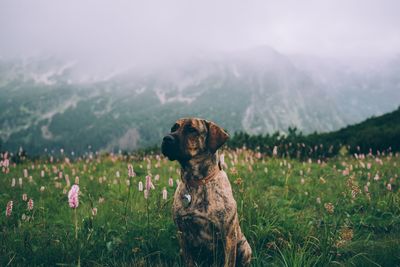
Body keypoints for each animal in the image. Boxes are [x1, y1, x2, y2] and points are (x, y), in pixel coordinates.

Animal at [161, 119, 252, 267]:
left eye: (192, 130)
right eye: (173, 128)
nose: (166, 139)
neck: (196, 181)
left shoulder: (228, 234)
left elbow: (228, 262)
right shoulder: (182, 234)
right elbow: (189, 261)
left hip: (244, 247)